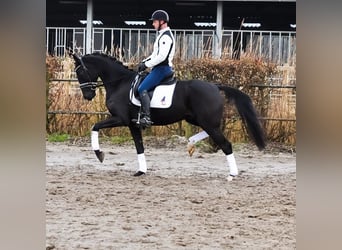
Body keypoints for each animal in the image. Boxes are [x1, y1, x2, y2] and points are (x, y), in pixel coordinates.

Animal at [71, 52, 264, 178]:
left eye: (80, 72)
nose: (88, 96)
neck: (120, 83)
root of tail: (215, 86)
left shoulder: (121, 119)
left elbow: (95, 126)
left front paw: (99, 154)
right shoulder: (133, 124)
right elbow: (139, 147)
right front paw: (141, 171)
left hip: (208, 122)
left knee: (226, 145)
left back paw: (232, 174)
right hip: (198, 119)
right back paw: (191, 144)